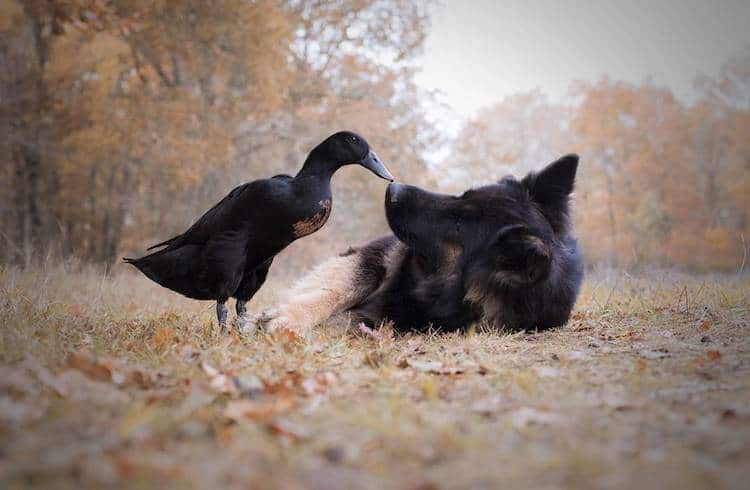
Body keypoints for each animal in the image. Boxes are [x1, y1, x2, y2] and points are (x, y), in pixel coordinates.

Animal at [258, 155, 588, 334]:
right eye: (463, 195)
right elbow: (337, 290)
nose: (393, 188)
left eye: (459, 223)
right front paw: (288, 318)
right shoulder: (378, 256)